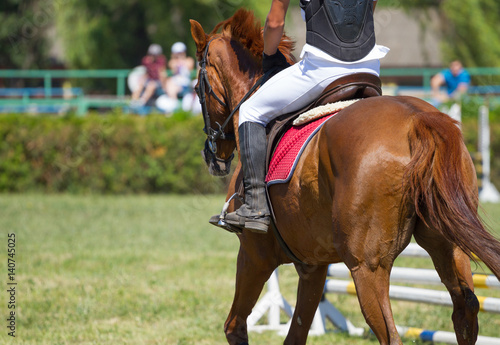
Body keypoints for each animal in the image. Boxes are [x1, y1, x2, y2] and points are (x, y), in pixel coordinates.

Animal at [190, 9, 500, 344]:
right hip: (448, 246)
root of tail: (417, 119)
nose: (213, 157)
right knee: (465, 309)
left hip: (366, 266)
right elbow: (295, 333)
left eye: (196, 89)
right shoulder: (313, 265)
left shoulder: (254, 253)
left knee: (392, 334)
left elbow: (234, 325)